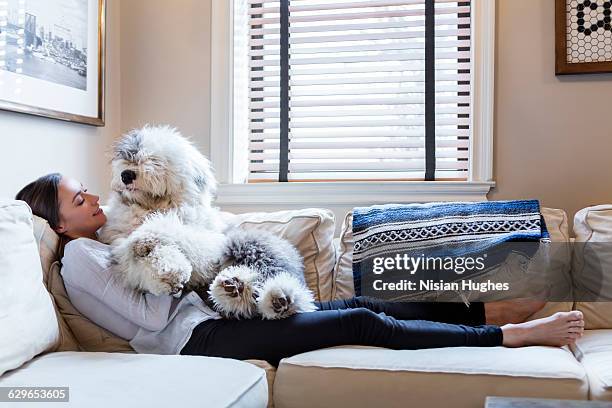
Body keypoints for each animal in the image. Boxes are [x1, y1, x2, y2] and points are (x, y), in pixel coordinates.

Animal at [98, 124, 318, 318]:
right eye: (127, 157)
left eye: (154, 160)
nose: (126, 175)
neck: (153, 207)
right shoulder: (119, 245)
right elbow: (135, 261)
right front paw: (168, 274)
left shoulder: (209, 243)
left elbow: (170, 231)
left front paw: (149, 238)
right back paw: (235, 289)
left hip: (249, 244)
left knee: (281, 281)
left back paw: (278, 298)